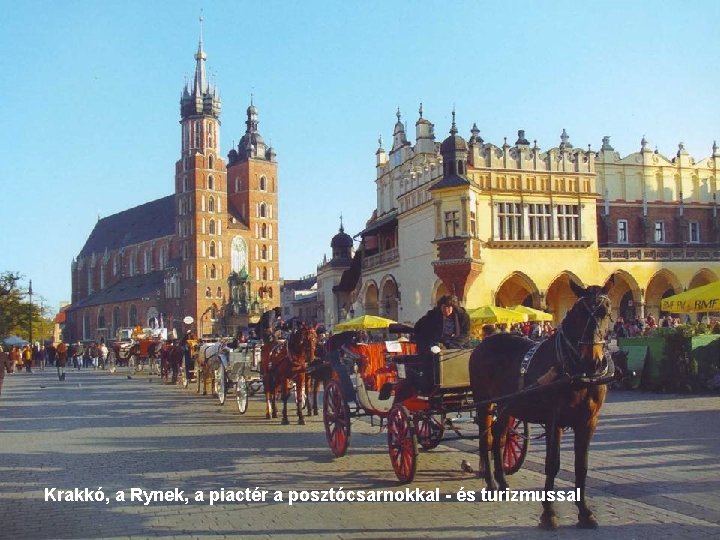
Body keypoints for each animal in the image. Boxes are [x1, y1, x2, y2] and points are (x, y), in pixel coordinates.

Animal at [470, 276, 616, 528]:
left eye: (606, 311)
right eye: (579, 313)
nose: (593, 361)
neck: (576, 372)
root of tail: (485, 341)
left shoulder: (588, 422)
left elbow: (581, 466)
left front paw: (584, 512)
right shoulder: (554, 420)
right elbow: (552, 463)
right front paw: (548, 513)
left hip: (507, 406)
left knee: (499, 436)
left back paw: (502, 481)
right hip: (484, 401)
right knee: (486, 438)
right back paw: (490, 482)